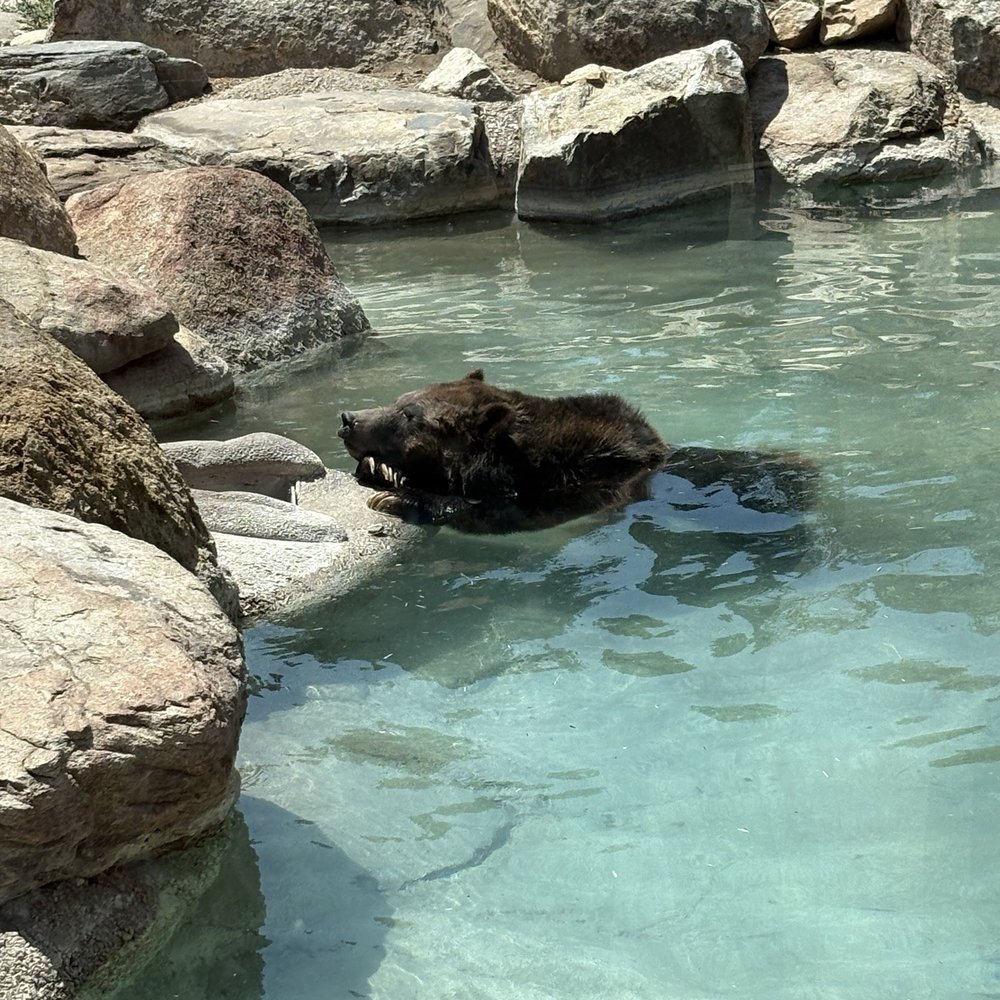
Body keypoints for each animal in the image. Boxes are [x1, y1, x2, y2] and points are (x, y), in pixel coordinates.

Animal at [338, 369, 817, 534]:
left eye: (409, 414)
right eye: (401, 400)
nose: (349, 417)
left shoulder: (557, 486)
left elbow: (483, 513)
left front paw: (396, 495)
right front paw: (382, 470)